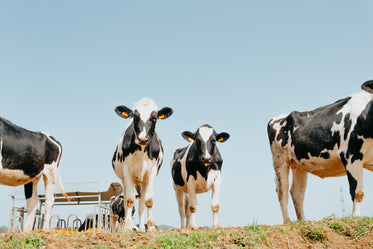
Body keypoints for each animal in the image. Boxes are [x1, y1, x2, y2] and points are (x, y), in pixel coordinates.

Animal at [111, 97, 174, 231]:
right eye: (135, 117)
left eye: (154, 118)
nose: (143, 139)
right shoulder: (127, 172)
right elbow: (129, 200)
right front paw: (127, 227)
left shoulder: (151, 172)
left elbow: (148, 201)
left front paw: (150, 227)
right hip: (124, 180)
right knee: (126, 201)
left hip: (143, 181)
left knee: (141, 205)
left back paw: (141, 228)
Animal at [268, 80, 373, 224]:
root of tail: (277, 118)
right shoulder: (351, 154)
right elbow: (357, 191)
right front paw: (356, 217)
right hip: (280, 159)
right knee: (282, 190)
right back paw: (287, 222)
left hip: (298, 163)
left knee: (297, 193)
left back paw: (303, 221)